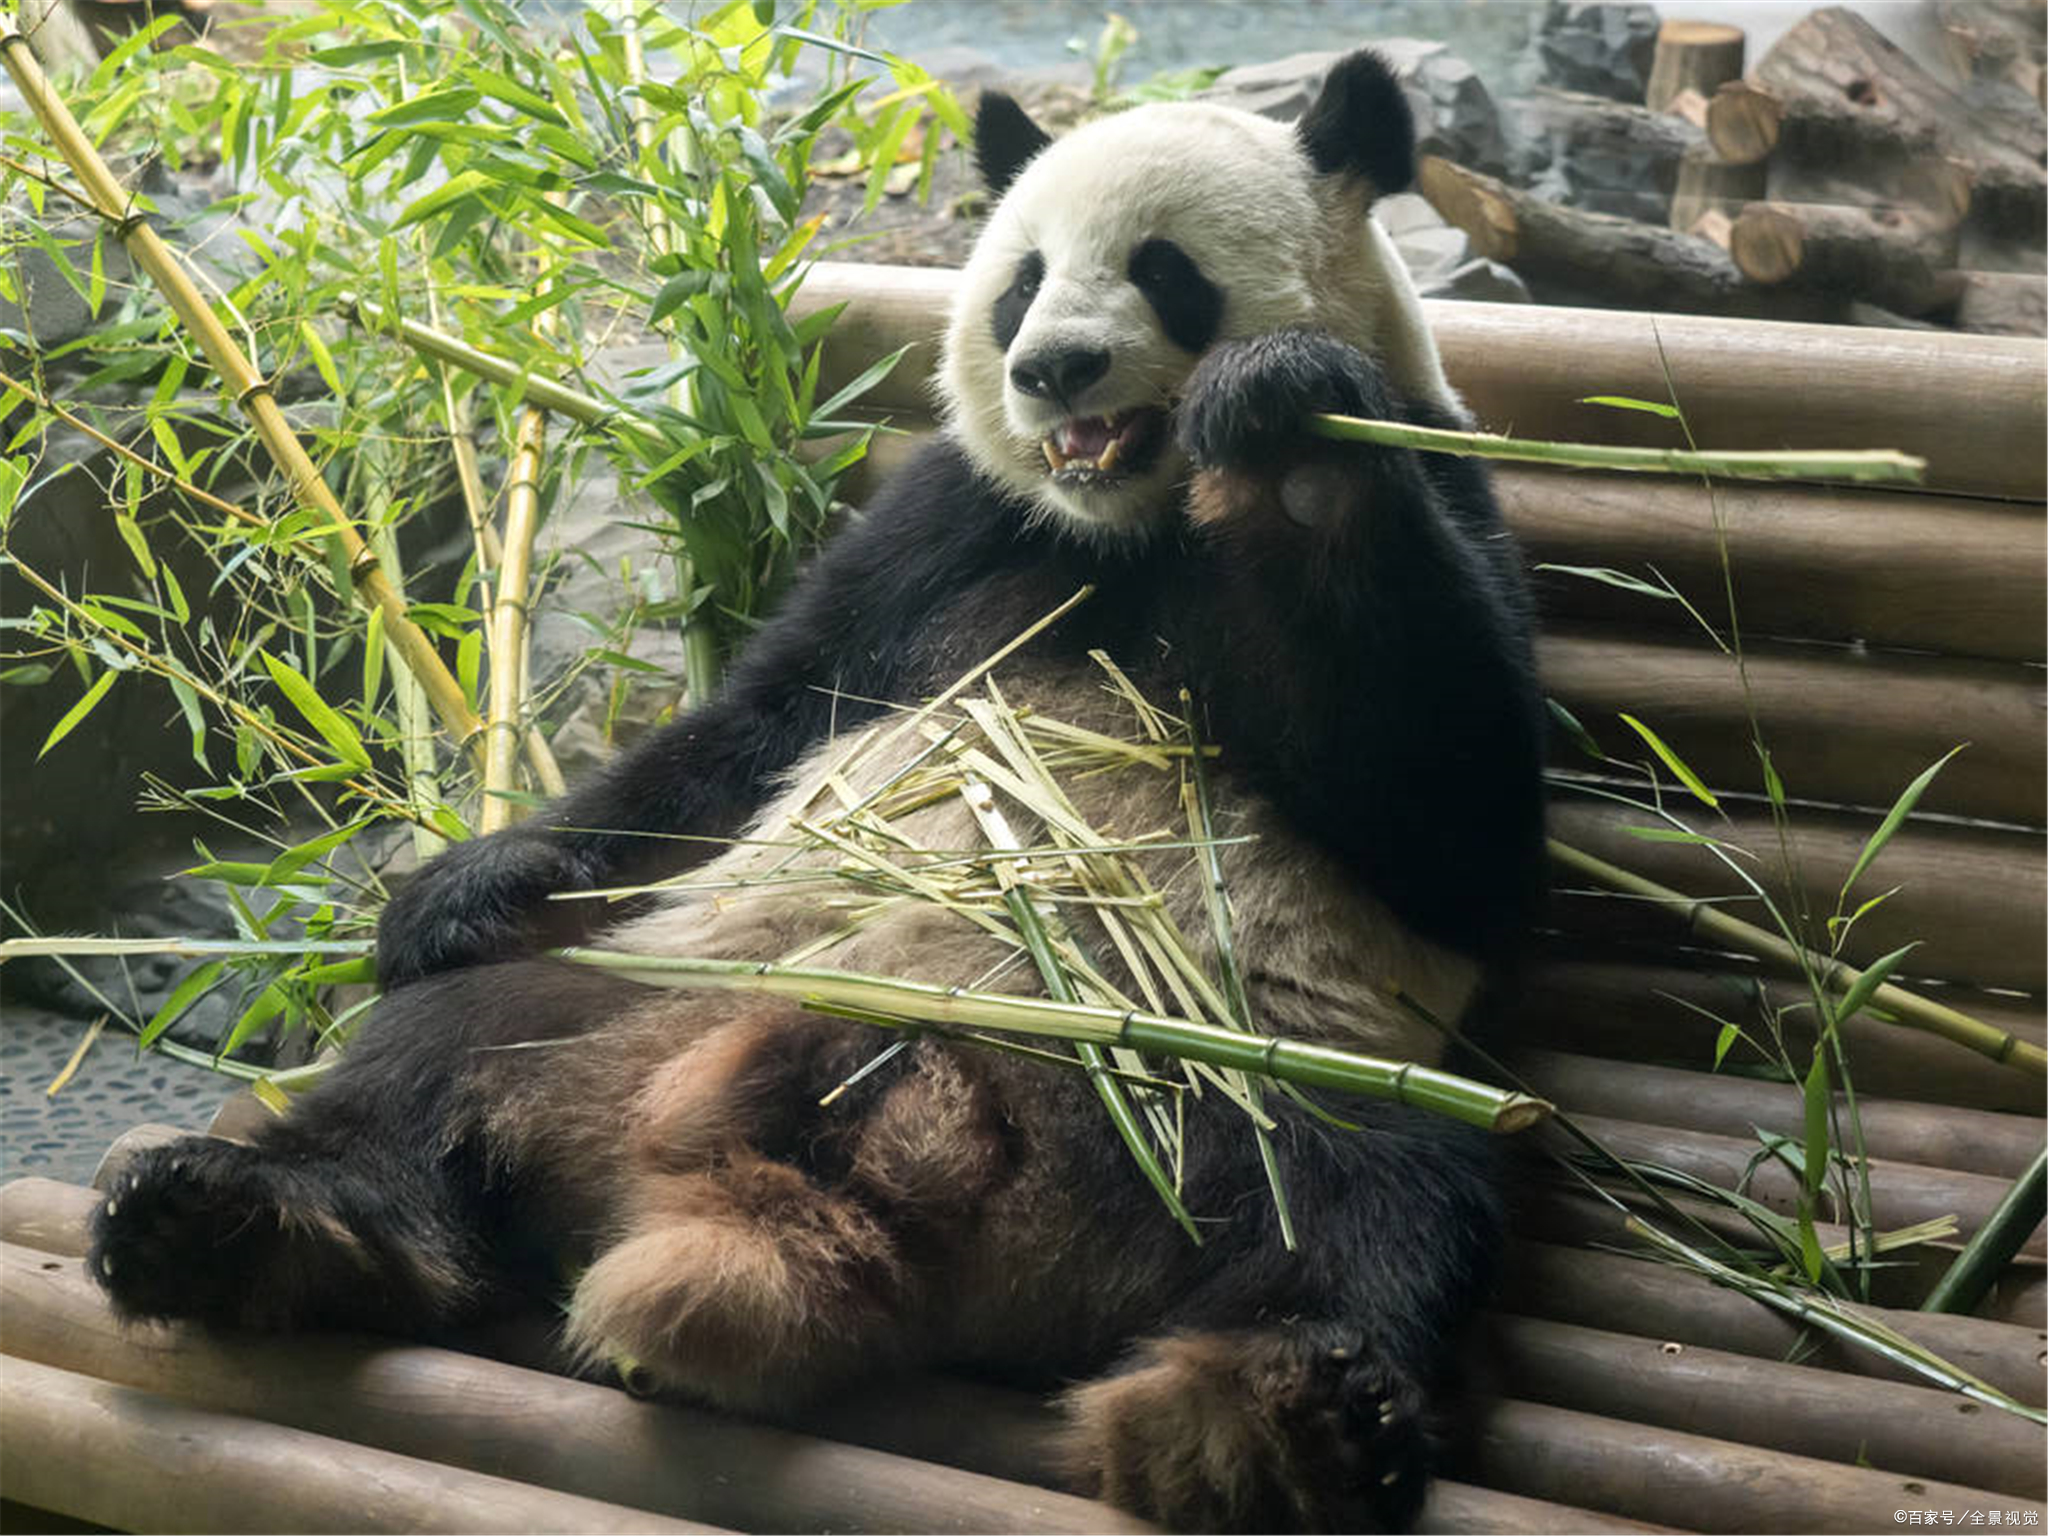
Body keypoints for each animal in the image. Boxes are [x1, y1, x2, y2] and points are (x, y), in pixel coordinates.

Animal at [88, 48, 1540, 1536]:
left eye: (1161, 270)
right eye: (1021, 277)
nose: (1049, 366)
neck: (1121, 521)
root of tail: (903, 1154)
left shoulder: (1445, 494)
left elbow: (1456, 837)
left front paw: (1283, 434)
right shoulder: (946, 526)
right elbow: (753, 727)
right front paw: (454, 888)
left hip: (1225, 1087)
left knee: (1381, 1202)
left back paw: (1272, 1421)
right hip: (646, 1003)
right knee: (430, 1059)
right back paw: (233, 1221)